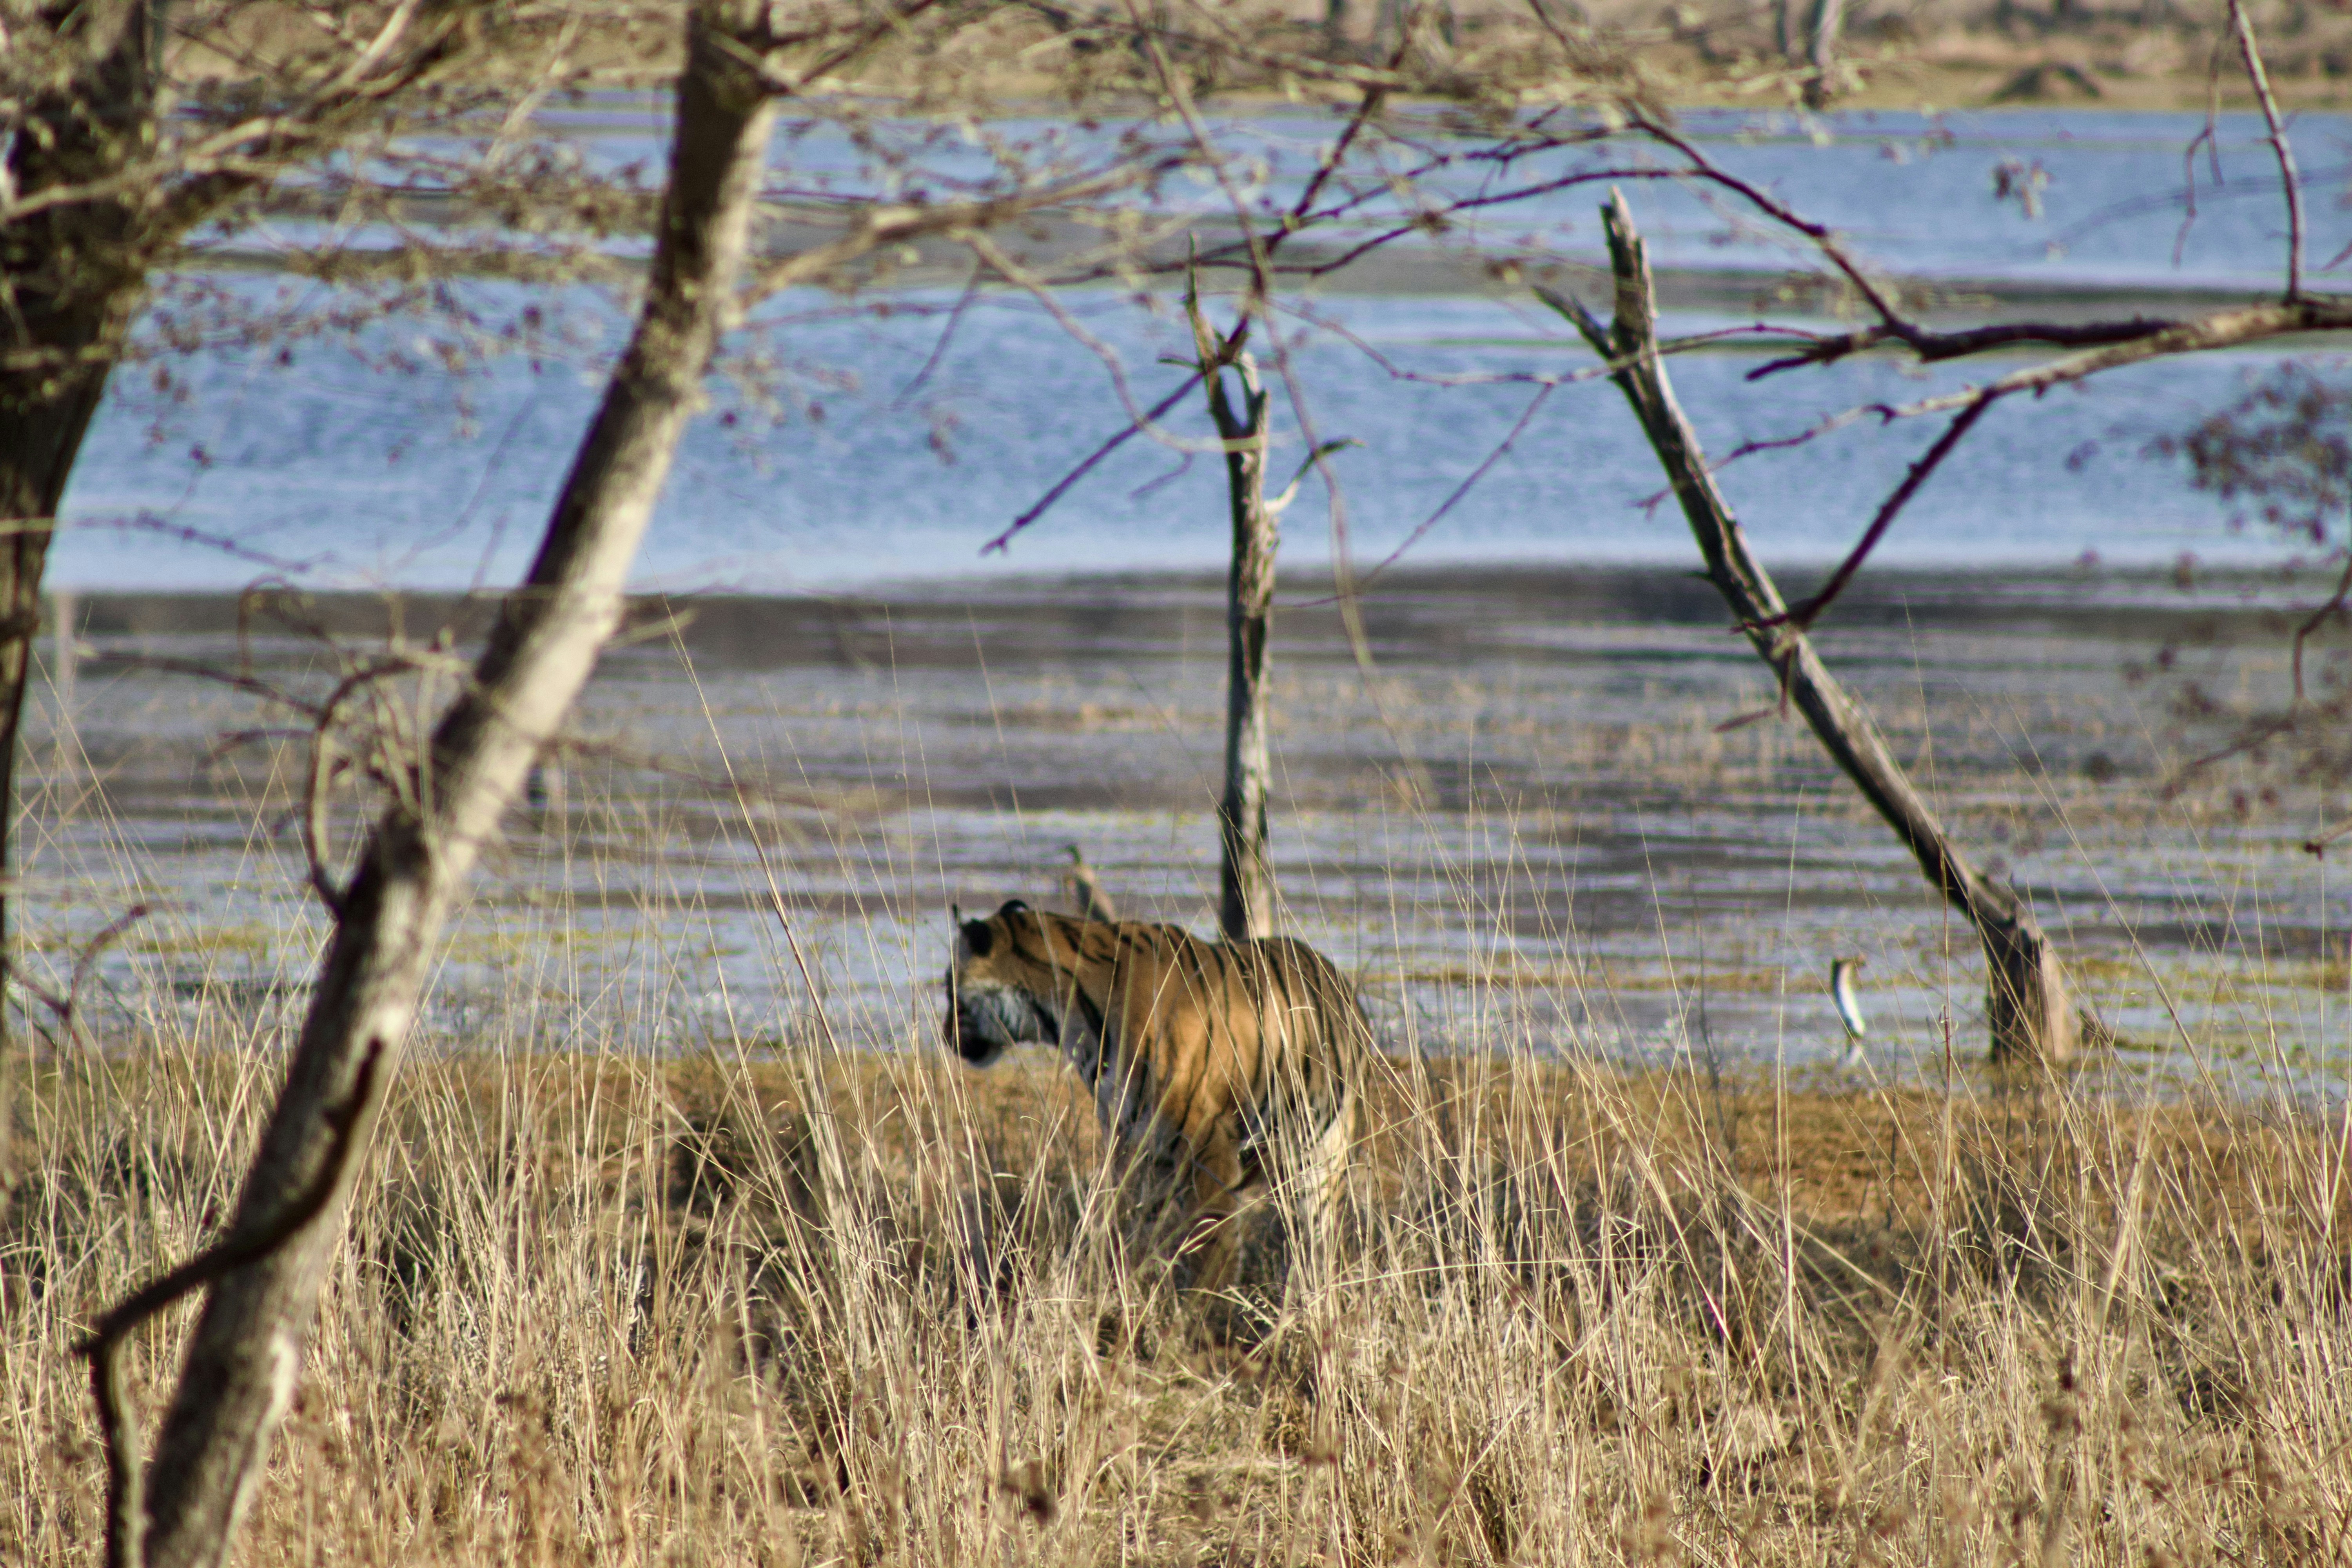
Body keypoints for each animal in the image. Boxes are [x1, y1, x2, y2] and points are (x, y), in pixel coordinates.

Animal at [942, 899, 1372, 1293]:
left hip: (1320, 1150)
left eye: (949, 988)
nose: (945, 1035)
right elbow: (1125, 1227)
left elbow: (1212, 1244)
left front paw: (1202, 1312)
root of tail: (1340, 981)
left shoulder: (1207, 1141)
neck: (1070, 1017)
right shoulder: (1137, 1142)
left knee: (1317, 1242)